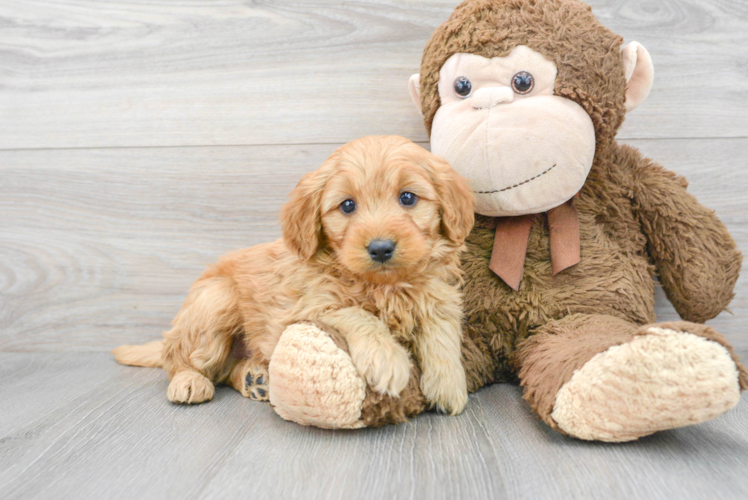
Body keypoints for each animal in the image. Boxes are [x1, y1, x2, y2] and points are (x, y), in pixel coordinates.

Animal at [114, 135, 476, 416]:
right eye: (347, 206)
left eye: (408, 197)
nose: (381, 248)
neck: (386, 286)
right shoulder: (308, 305)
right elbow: (357, 313)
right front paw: (387, 358)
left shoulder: (439, 297)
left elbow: (441, 334)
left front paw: (448, 385)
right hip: (215, 301)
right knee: (181, 360)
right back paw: (189, 381)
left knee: (226, 369)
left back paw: (255, 378)